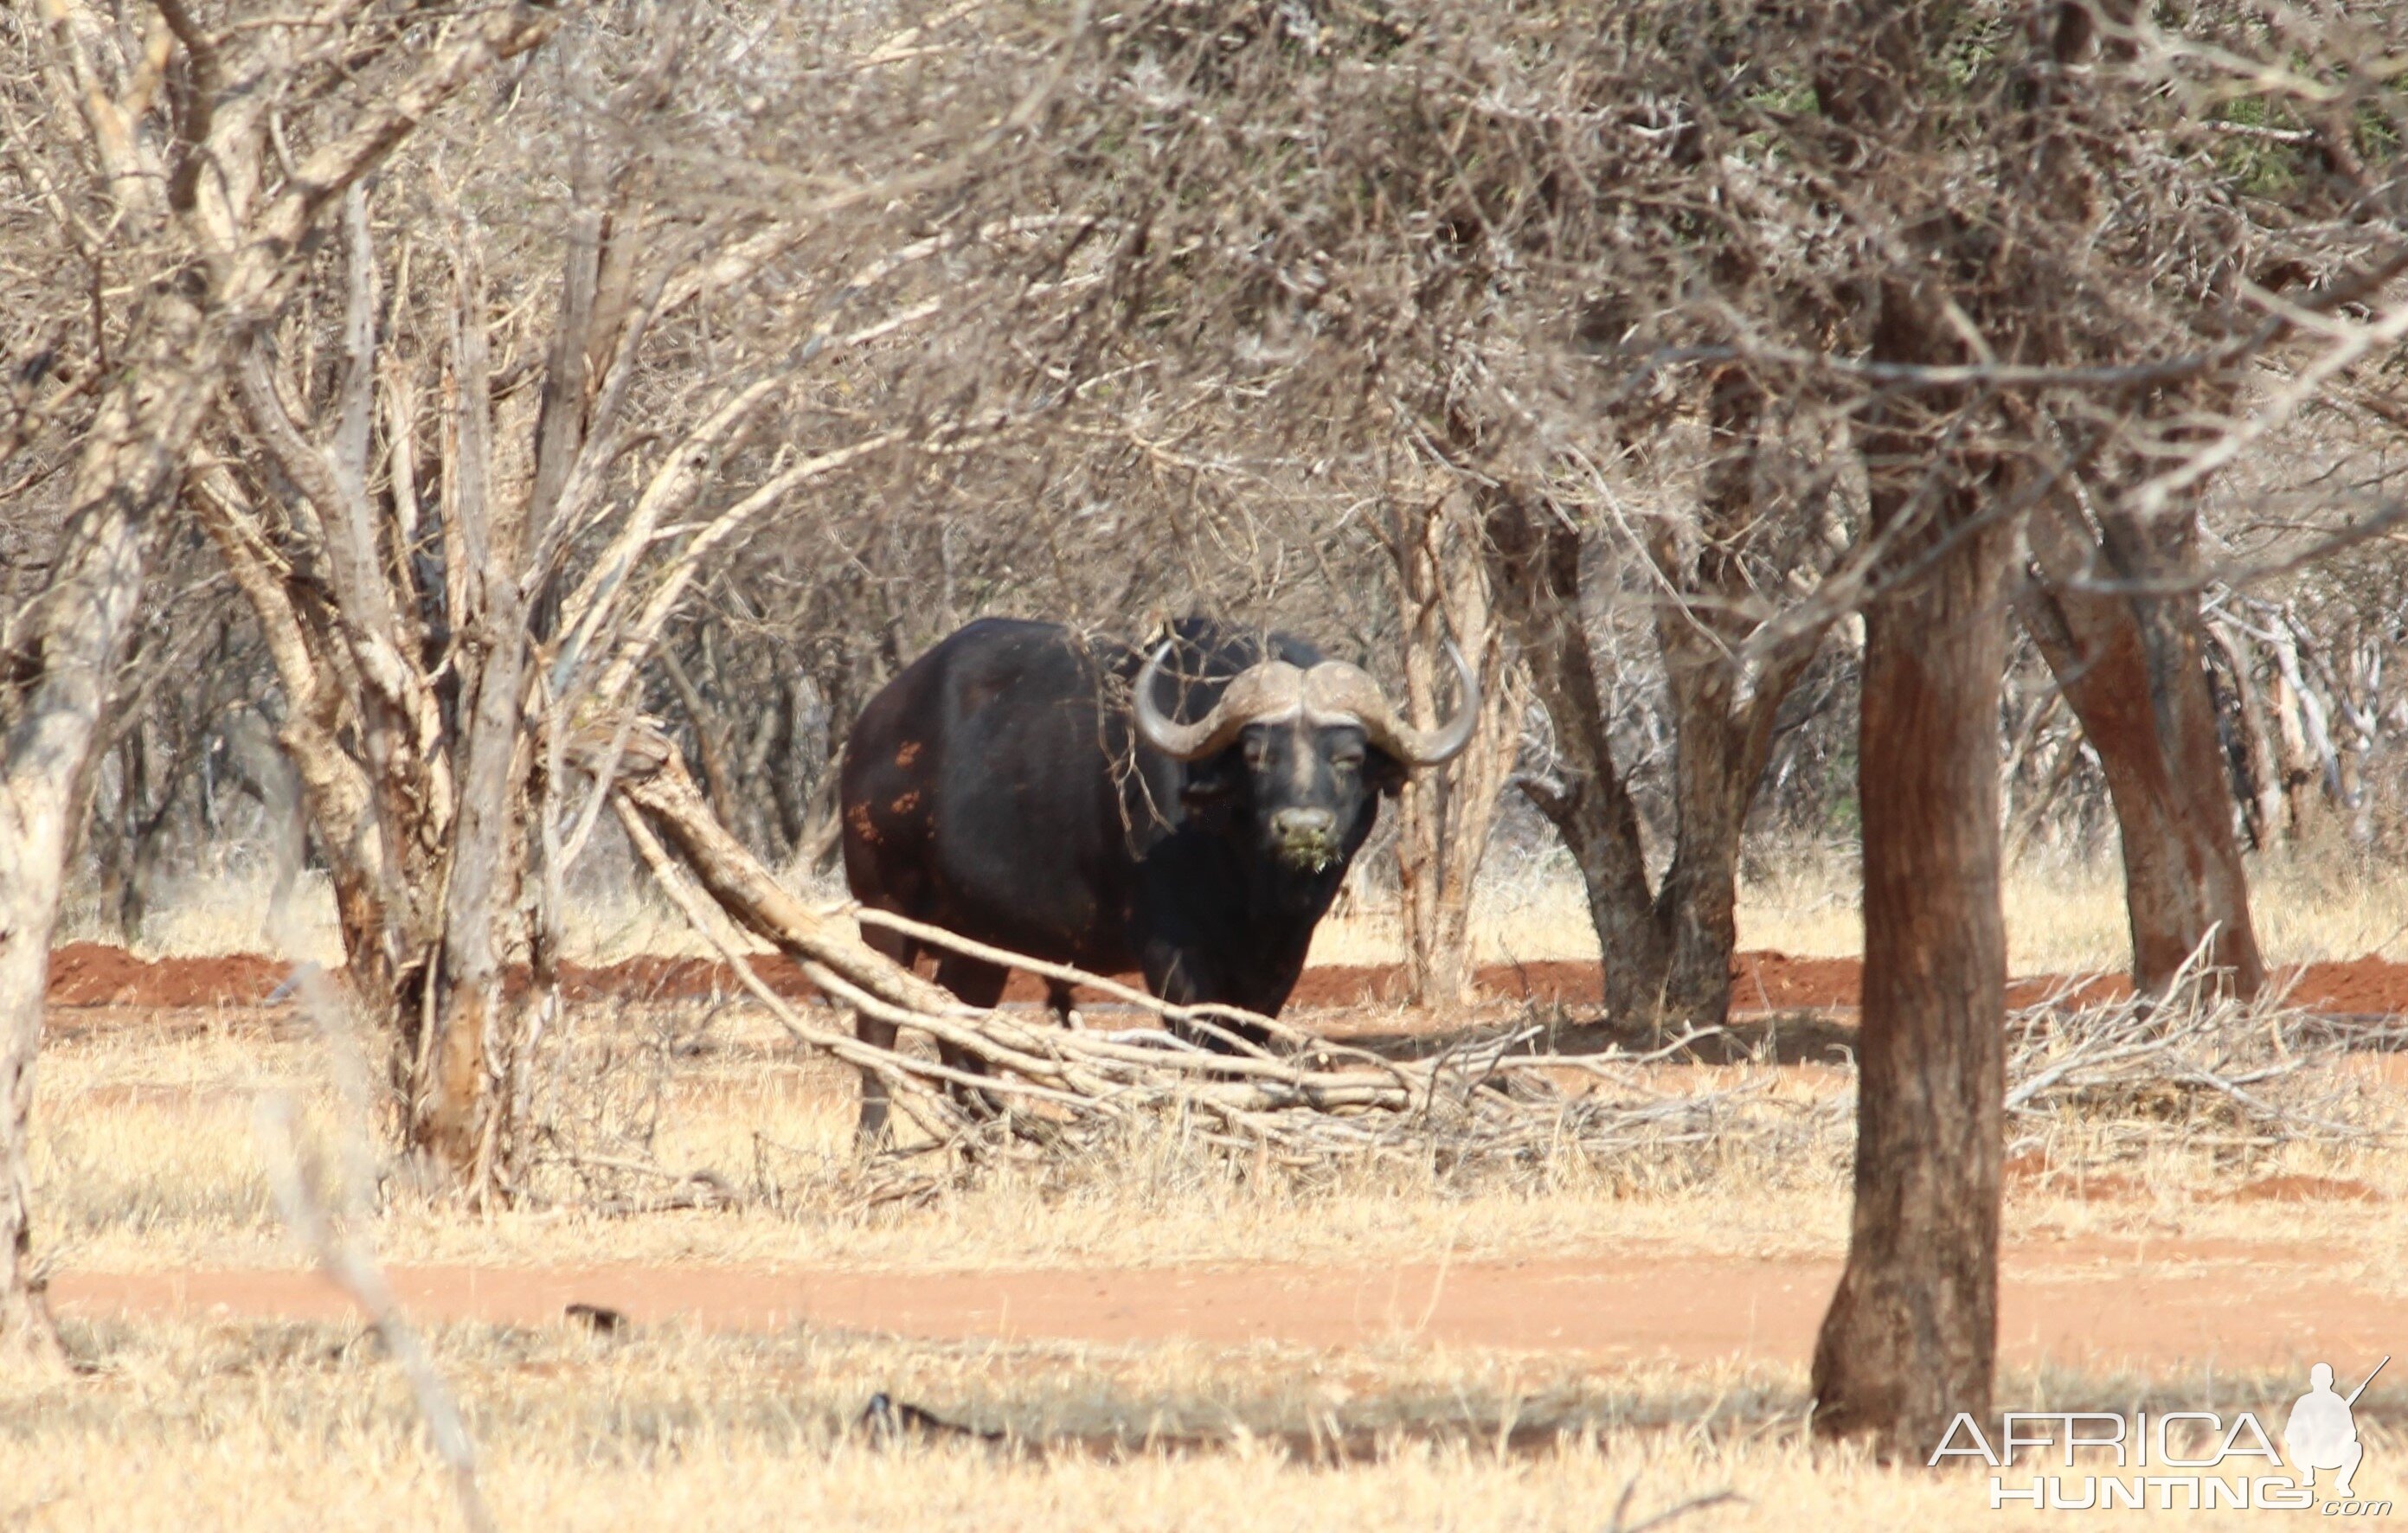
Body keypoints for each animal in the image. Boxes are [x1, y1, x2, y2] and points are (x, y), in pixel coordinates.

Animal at [838, 613, 1474, 1136]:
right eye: (1256, 755)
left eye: (1347, 757)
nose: (1301, 828)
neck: (1246, 877)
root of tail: (873, 725)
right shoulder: (1171, 952)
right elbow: (1197, 1048)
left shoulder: (1282, 957)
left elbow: (1243, 1047)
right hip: (883, 906)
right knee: (877, 1022)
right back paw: (876, 1141)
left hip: (981, 937)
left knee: (959, 1026)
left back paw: (997, 1132)